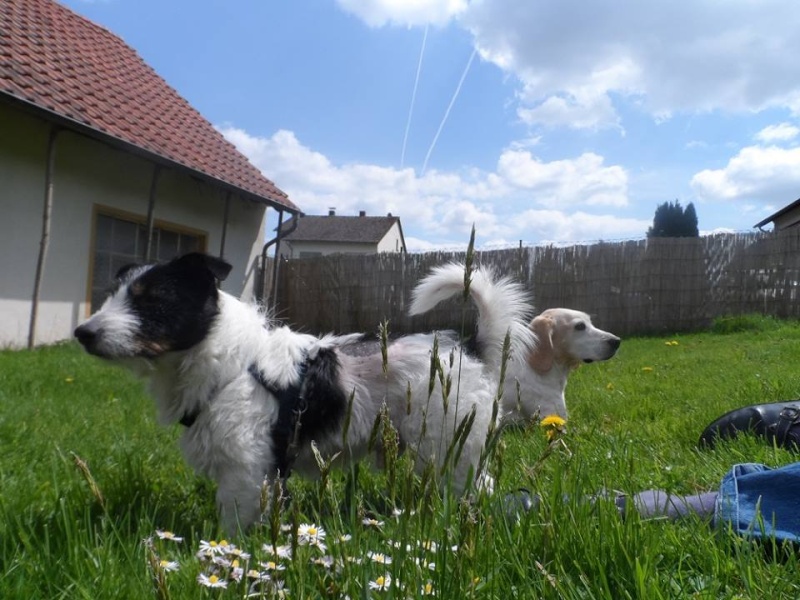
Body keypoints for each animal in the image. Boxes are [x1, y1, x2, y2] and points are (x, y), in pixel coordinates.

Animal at [75, 251, 536, 532]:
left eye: (152, 299)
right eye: (112, 296)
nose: (82, 333)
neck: (231, 365)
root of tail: (470, 352)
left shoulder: (246, 471)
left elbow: (235, 527)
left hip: (449, 448)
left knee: (478, 486)